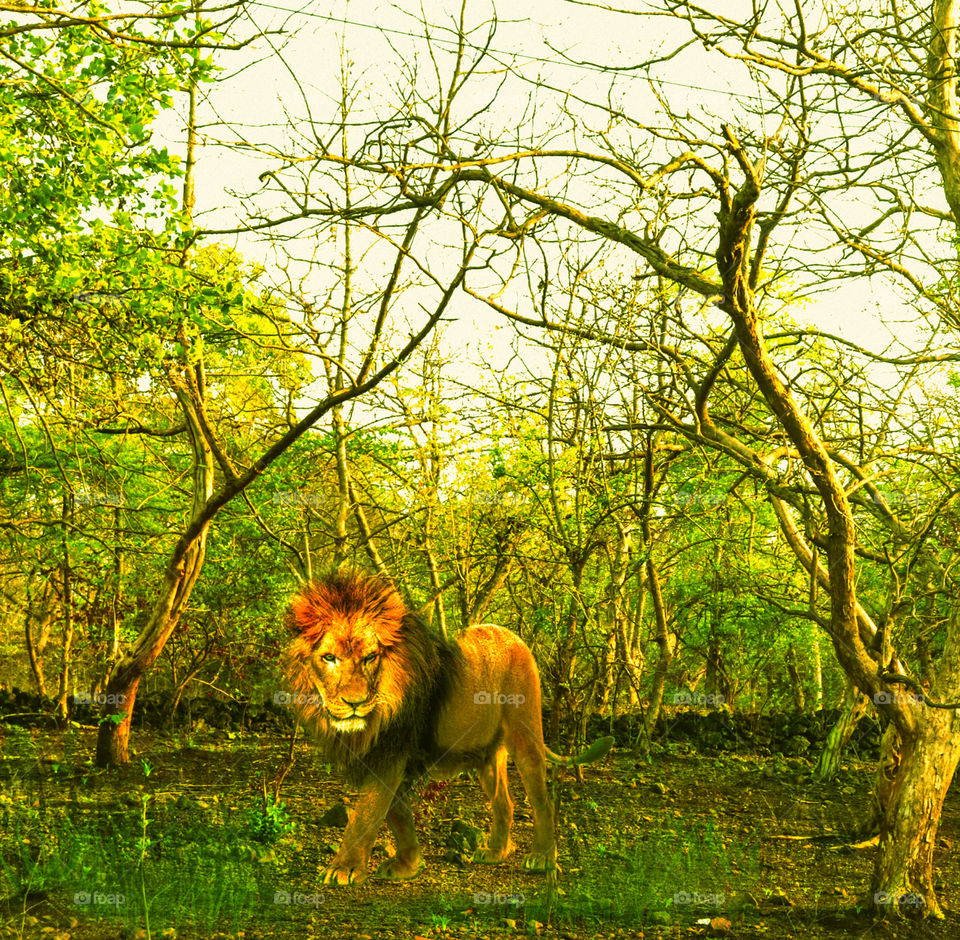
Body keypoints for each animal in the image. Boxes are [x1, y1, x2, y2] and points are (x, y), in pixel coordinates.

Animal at [283, 569, 613, 885]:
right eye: (329, 658)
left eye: (370, 657)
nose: (355, 702)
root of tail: (513, 636)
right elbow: (398, 814)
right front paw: (408, 865)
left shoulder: (392, 750)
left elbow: (368, 812)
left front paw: (343, 870)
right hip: (487, 756)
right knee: (504, 803)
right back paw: (494, 852)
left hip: (526, 732)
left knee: (541, 800)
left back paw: (542, 858)